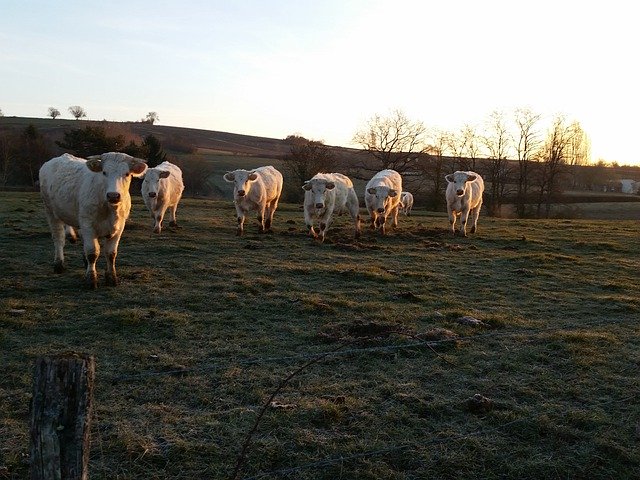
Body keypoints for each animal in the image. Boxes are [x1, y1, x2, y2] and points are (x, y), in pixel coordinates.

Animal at [40, 153, 149, 288]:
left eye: (127, 174)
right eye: (104, 172)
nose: (113, 195)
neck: (109, 208)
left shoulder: (119, 227)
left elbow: (111, 253)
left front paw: (111, 278)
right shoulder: (88, 225)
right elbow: (92, 252)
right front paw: (91, 279)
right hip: (50, 211)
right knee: (58, 238)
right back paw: (59, 265)